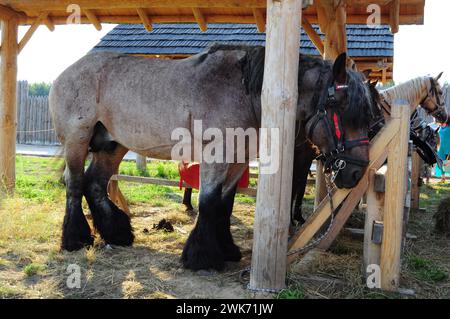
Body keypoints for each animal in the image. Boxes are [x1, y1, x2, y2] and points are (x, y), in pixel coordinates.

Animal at [49, 43, 374, 272]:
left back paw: (116, 233)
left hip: (112, 146)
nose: (356, 172)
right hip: (78, 140)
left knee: (94, 184)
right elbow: (207, 202)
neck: (246, 91)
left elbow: (223, 205)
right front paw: (201, 257)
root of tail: (64, 74)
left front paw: (227, 249)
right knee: (75, 184)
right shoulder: (216, 154)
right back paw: (76, 239)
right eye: (341, 107)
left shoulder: (239, 158)